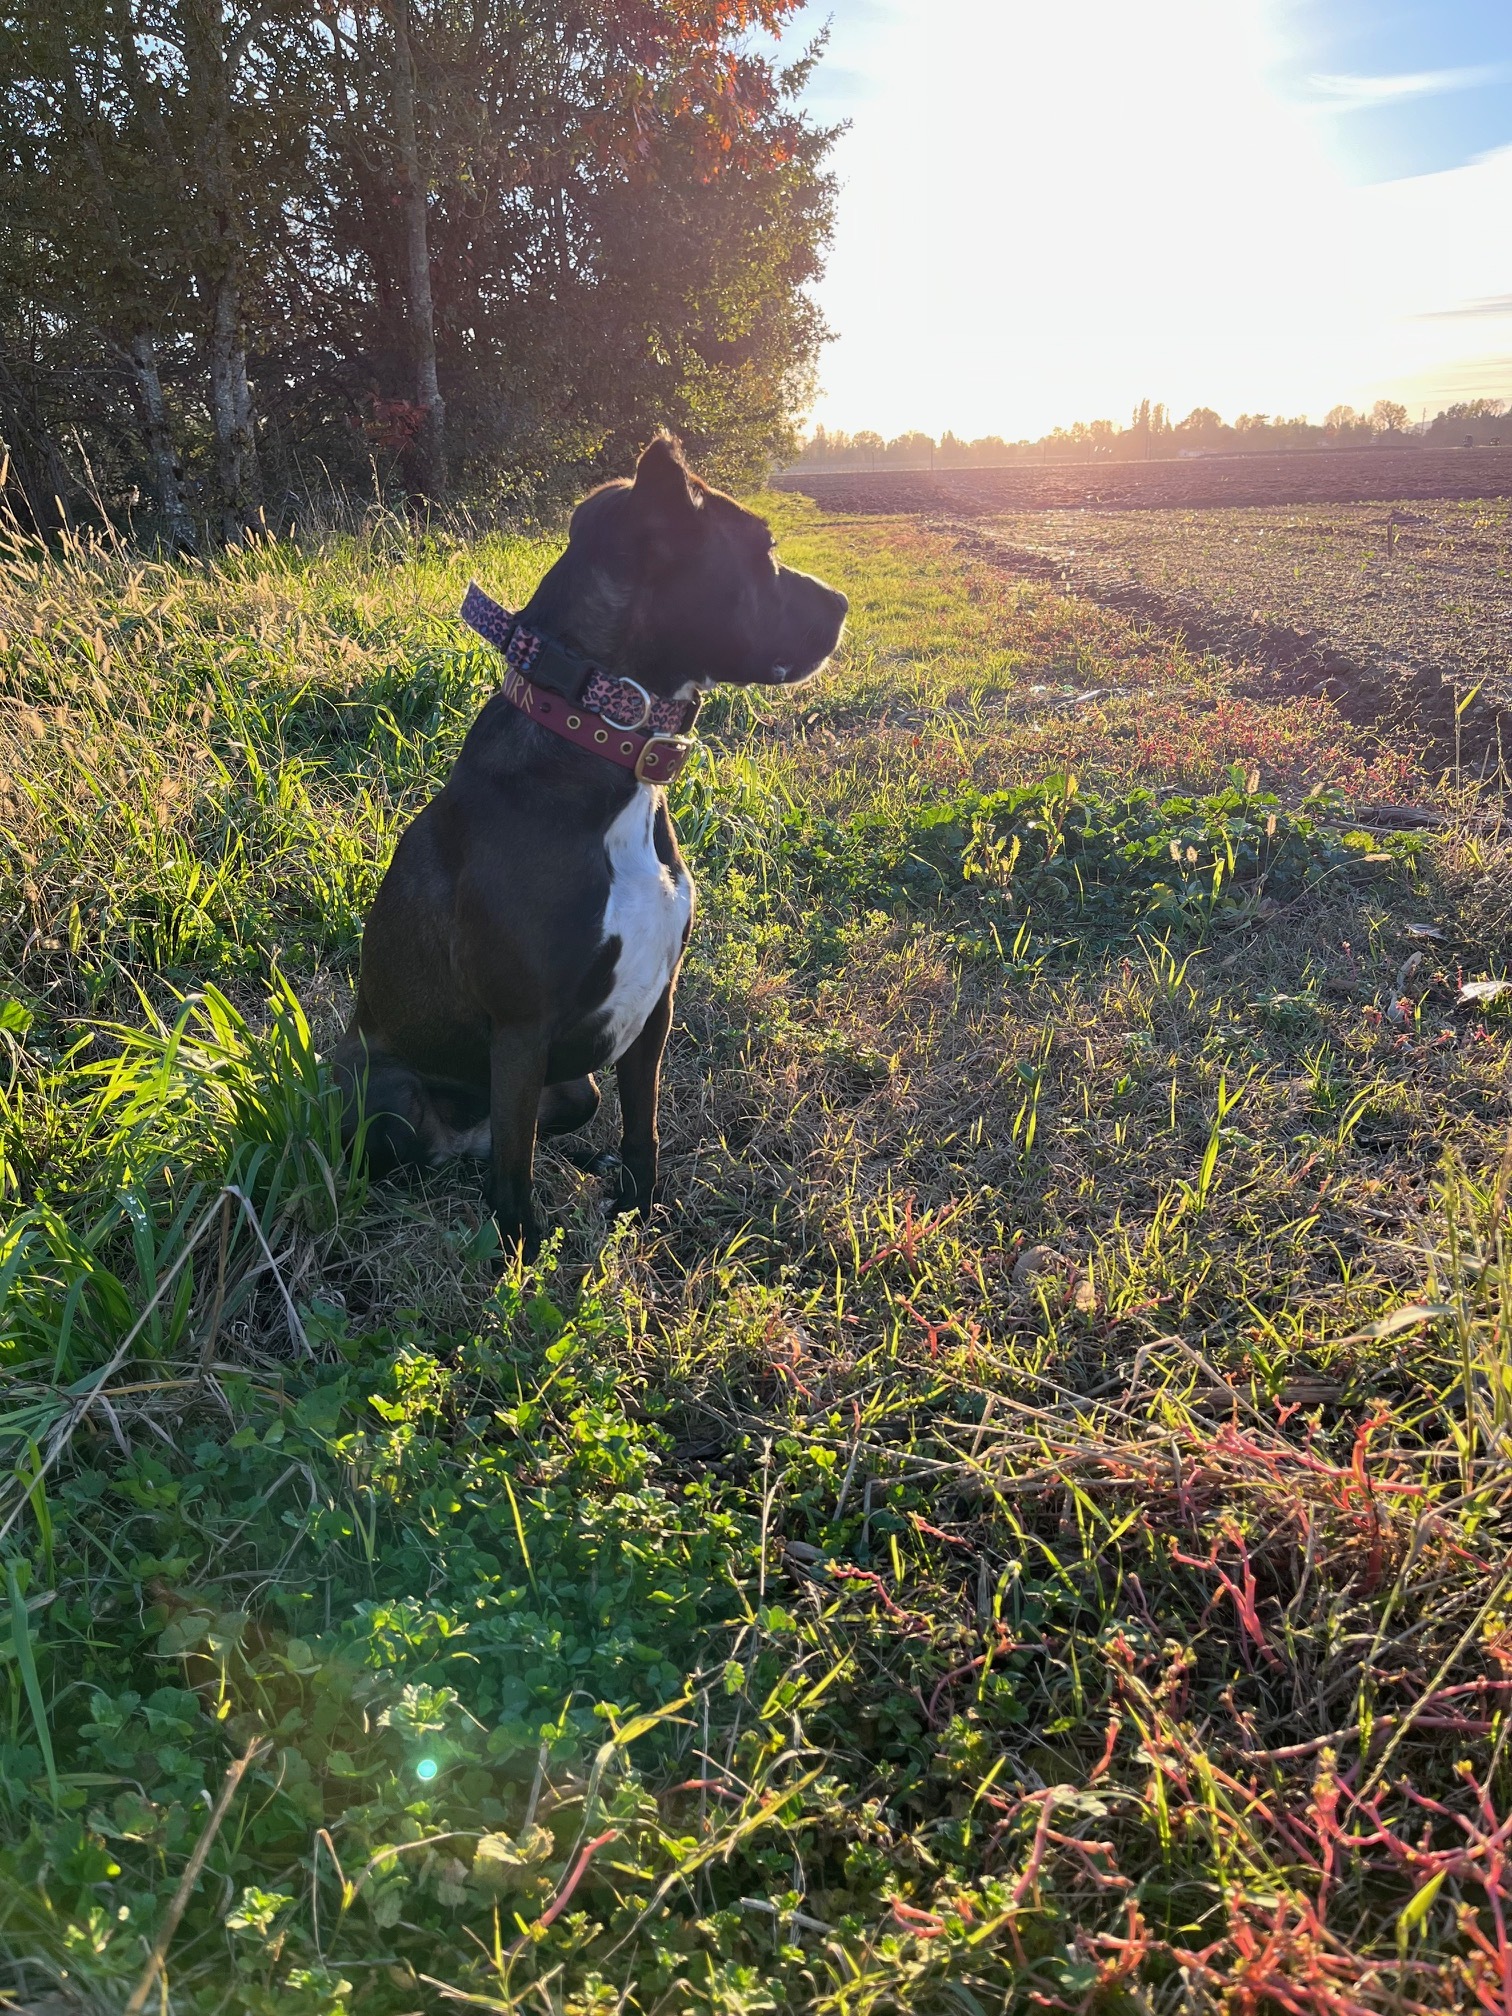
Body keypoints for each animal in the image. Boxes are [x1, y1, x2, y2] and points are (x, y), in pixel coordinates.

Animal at [334, 435, 854, 1249]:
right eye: (763, 550)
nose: (842, 604)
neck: (605, 745)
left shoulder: (654, 1008)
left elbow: (643, 1128)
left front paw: (638, 1207)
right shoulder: (521, 1029)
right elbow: (515, 1184)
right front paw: (522, 1259)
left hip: (574, 1087)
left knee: (516, 1137)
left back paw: (584, 1166)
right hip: (385, 1098)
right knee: (460, 1154)